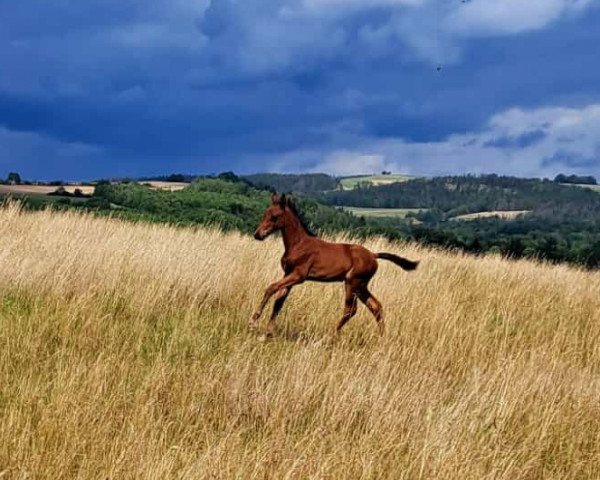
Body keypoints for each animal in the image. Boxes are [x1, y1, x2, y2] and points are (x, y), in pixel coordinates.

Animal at [248, 191, 418, 338]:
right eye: (264, 214)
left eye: (274, 217)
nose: (257, 235)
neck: (298, 244)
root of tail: (373, 255)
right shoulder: (288, 274)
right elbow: (279, 302)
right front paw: (267, 333)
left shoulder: (299, 275)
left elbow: (271, 288)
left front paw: (254, 320)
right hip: (361, 285)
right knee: (375, 307)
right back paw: (382, 338)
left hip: (352, 282)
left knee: (350, 310)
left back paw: (326, 337)